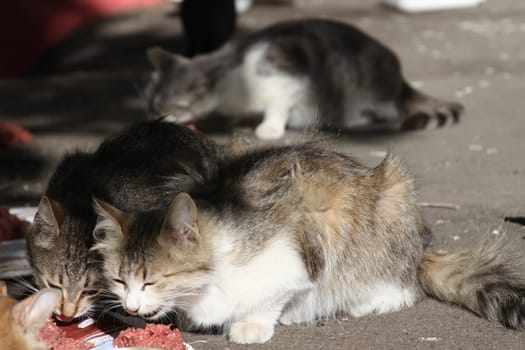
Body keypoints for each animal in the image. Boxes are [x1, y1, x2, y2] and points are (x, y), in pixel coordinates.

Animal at [91, 143, 524, 344]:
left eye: (152, 280)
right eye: (118, 280)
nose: (130, 307)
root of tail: (421, 247)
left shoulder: (295, 254)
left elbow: (272, 295)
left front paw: (253, 325)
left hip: (391, 196)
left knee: (406, 288)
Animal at [144, 17, 462, 138]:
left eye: (167, 109)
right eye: (151, 107)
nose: (153, 121)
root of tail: (398, 74)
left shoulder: (290, 79)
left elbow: (278, 105)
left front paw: (269, 127)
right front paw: (245, 120)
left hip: (366, 87)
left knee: (392, 109)